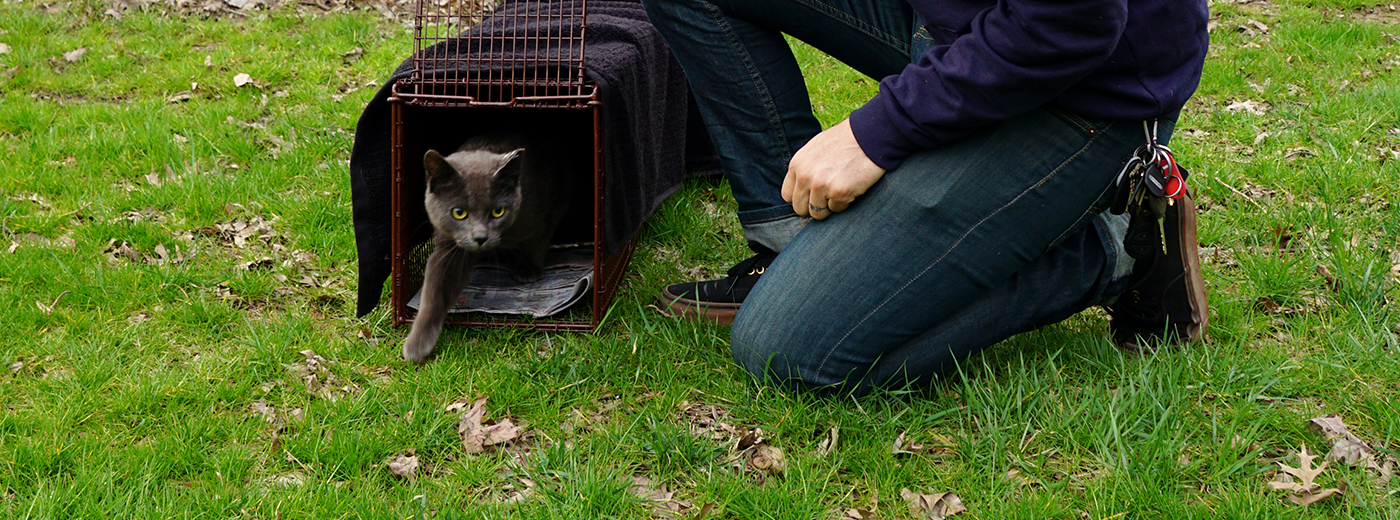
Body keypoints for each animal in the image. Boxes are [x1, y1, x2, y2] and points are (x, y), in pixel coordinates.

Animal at [403, 132, 571, 364]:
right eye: (458, 213)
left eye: (498, 211)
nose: (480, 237)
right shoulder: (448, 246)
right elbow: (434, 289)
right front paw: (417, 345)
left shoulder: (545, 207)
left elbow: (537, 239)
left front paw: (529, 270)